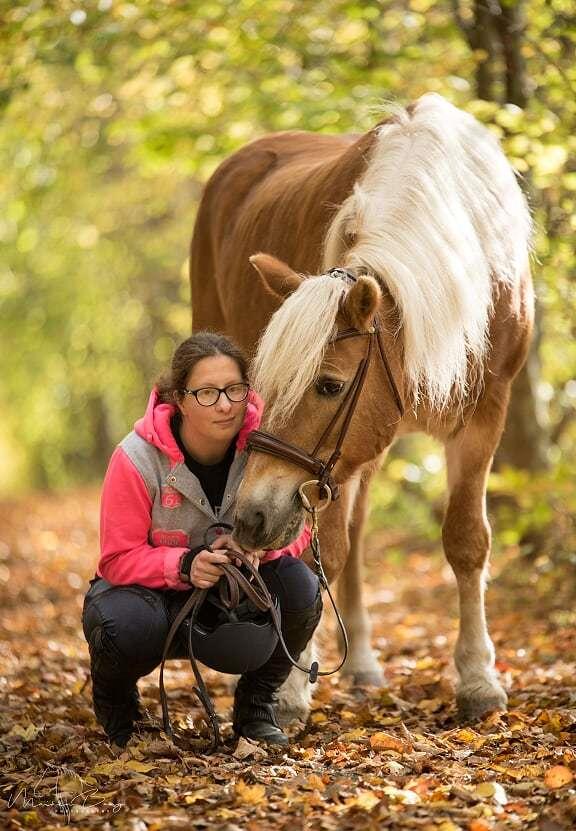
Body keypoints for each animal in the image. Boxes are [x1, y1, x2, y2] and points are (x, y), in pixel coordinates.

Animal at [190, 94, 536, 724]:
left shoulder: (484, 413)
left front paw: (478, 679)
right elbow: (322, 552)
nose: (251, 517)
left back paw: (364, 664)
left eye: (329, 386)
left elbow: (466, 540)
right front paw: (289, 688)